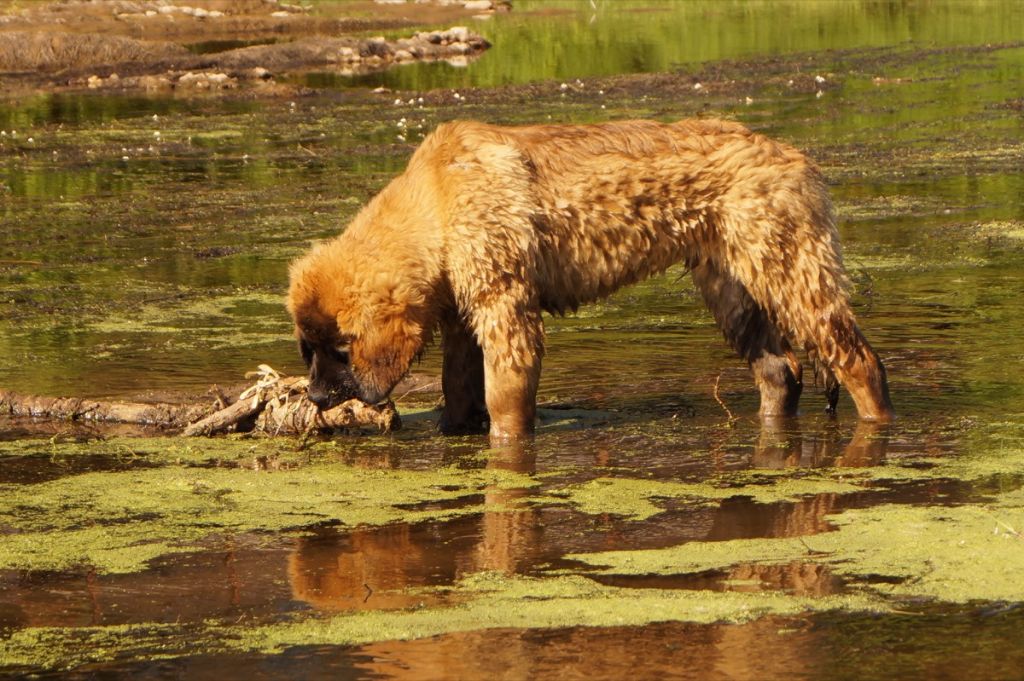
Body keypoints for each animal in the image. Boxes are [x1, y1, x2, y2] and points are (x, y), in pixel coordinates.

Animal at [286, 118, 888, 438]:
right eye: (306, 350)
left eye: (341, 349)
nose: (314, 397)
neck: (435, 205)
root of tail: (798, 158)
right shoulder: (463, 316)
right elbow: (459, 389)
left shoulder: (507, 310)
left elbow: (505, 399)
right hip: (731, 288)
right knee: (781, 371)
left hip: (791, 271)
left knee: (861, 363)